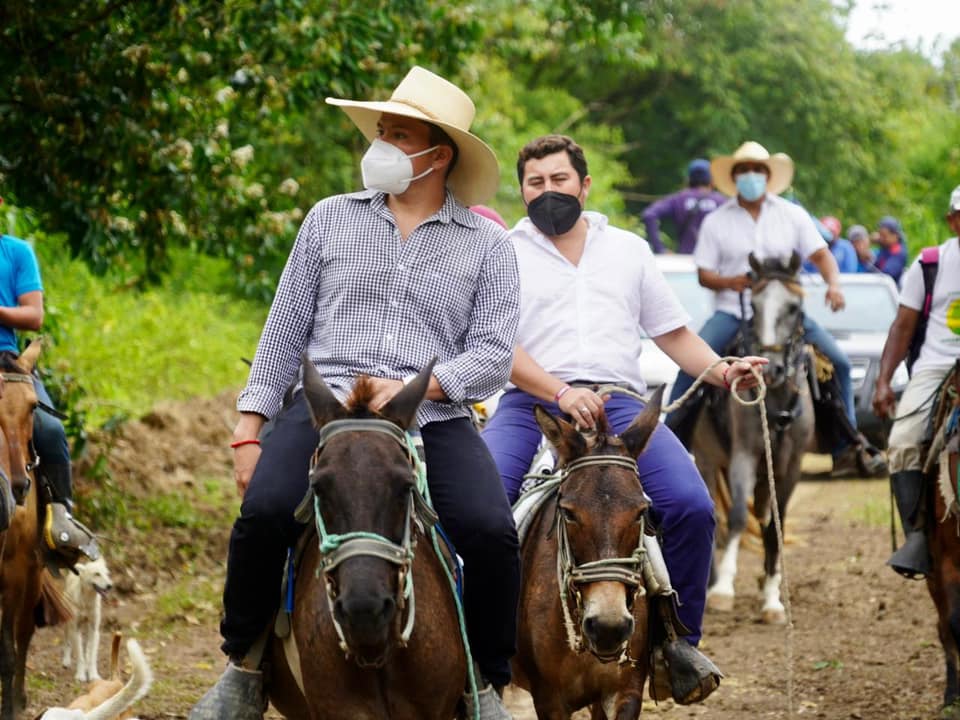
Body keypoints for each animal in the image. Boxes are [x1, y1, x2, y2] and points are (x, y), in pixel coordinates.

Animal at [690, 252, 814, 624]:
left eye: (793, 307)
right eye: (755, 306)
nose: (770, 368)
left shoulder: (790, 467)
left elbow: (775, 525)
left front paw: (772, 599)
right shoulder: (743, 456)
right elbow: (737, 517)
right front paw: (723, 590)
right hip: (706, 458)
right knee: (716, 512)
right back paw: (711, 581)